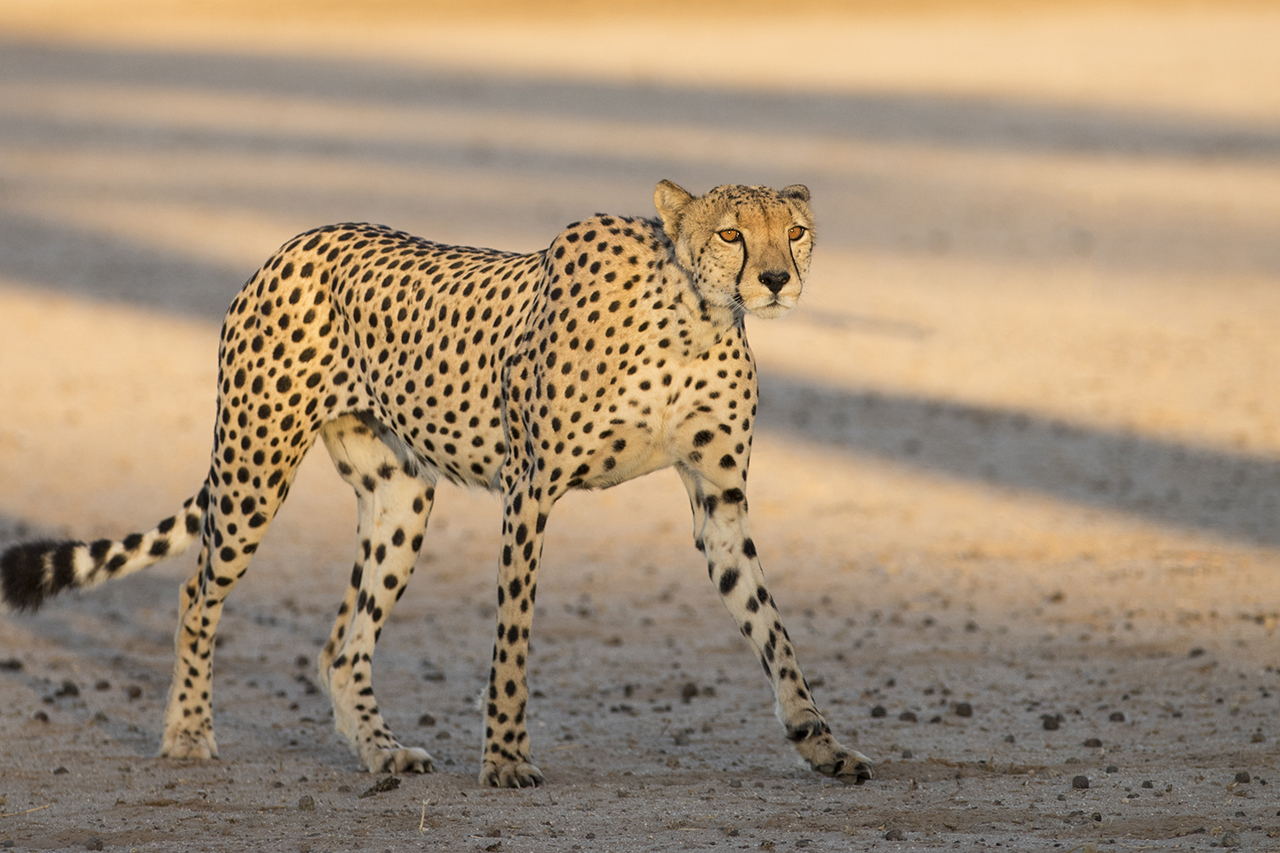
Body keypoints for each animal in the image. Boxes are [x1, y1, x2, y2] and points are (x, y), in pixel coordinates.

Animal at [0, 180, 873, 788]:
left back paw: (381, 751)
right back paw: (186, 734)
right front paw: (506, 758)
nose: (775, 278)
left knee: (339, 641)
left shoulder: (720, 501)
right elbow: (513, 637)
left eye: (795, 231)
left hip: (400, 497)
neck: (695, 319)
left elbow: (772, 628)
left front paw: (821, 742)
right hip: (254, 464)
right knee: (197, 591)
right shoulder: (531, 490)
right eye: (730, 233)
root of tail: (298, 240)